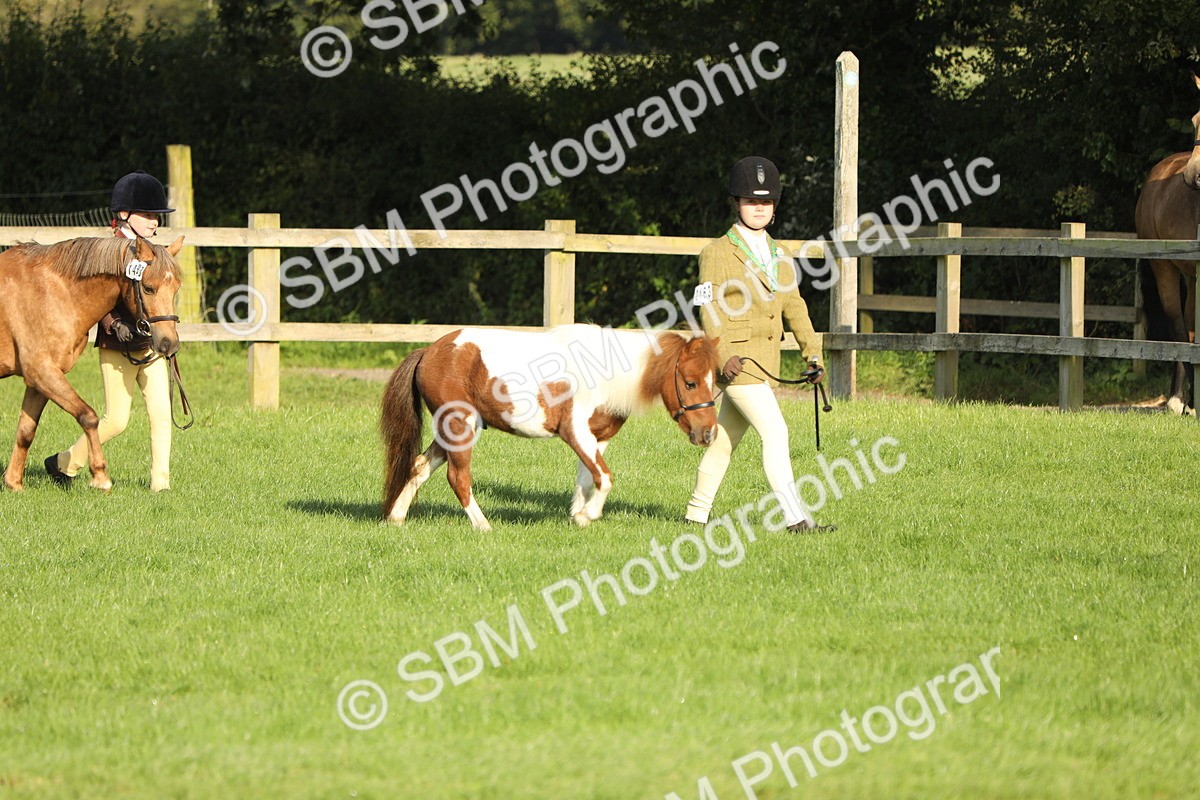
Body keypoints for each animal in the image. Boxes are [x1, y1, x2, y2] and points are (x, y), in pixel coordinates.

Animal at [0, 235, 184, 491]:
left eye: (176, 287)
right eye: (148, 288)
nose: (169, 343)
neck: (53, 292)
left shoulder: (39, 379)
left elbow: (26, 431)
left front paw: (14, 484)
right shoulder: (42, 372)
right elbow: (88, 416)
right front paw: (100, 476)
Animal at [381, 324, 721, 530]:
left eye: (714, 381)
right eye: (690, 383)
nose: (708, 433)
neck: (603, 372)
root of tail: (428, 352)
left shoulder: (597, 438)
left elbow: (587, 478)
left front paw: (578, 516)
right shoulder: (575, 433)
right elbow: (605, 478)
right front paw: (590, 514)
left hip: (451, 431)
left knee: (419, 466)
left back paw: (396, 517)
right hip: (459, 426)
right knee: (458, 477)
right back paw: (483, 525)